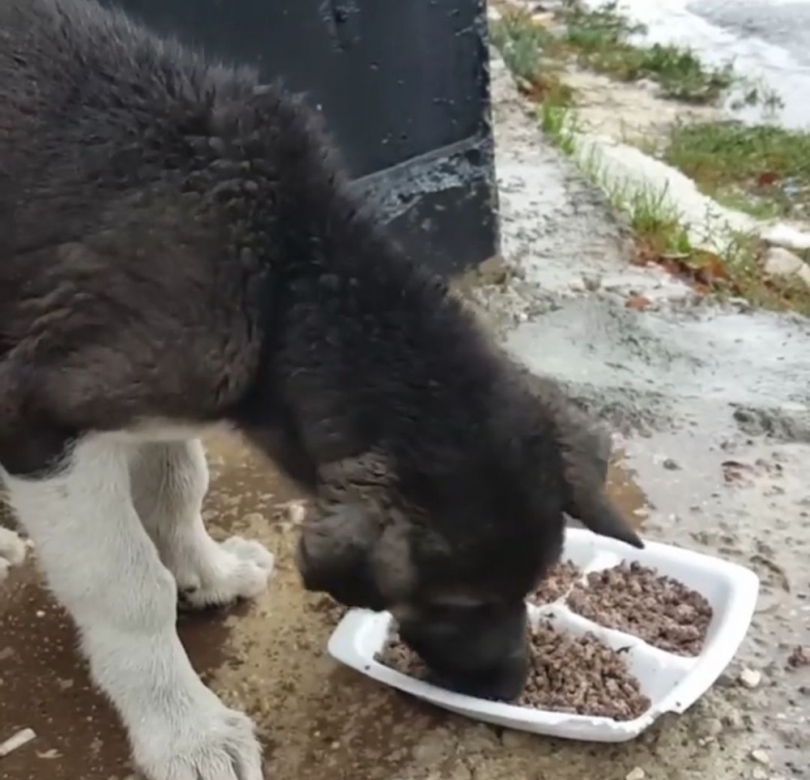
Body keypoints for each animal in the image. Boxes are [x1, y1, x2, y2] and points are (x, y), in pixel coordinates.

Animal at [1, 1, 644, 780]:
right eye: (455, 603)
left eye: (535, 585)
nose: (510, 686)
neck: (286, 270)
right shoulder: (41, 417)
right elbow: (129, 586)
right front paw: (186, 733)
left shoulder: (158, 392)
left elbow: (179, 481)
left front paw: (206, 569)